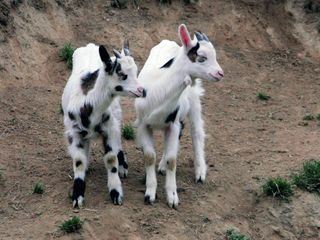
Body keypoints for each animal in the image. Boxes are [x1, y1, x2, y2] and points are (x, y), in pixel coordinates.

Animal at [61, 42, 146, 207]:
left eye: (136, 71)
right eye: (122, 74)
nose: (142, 90)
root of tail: (90, 46)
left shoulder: (109, 129)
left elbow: (111, 159)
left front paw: (115, 193)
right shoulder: (73, 133)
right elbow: (79, 161)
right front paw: (77, 195)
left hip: (116, 115)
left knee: (119, 140)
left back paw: (122, 167)